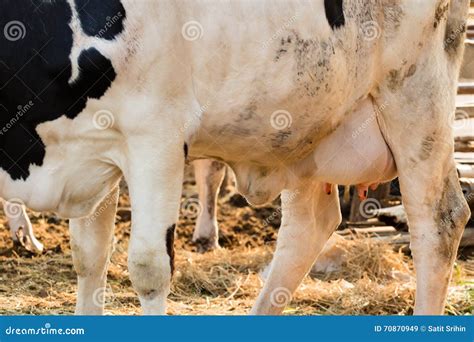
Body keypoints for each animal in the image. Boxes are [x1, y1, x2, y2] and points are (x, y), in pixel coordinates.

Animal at [0, 0, 468, 316]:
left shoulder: (156, 136)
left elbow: (149, 268)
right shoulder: (93, 149)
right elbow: (89, 258)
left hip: (416, 99)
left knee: (439, 222)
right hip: (307, 123)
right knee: (309, 226)